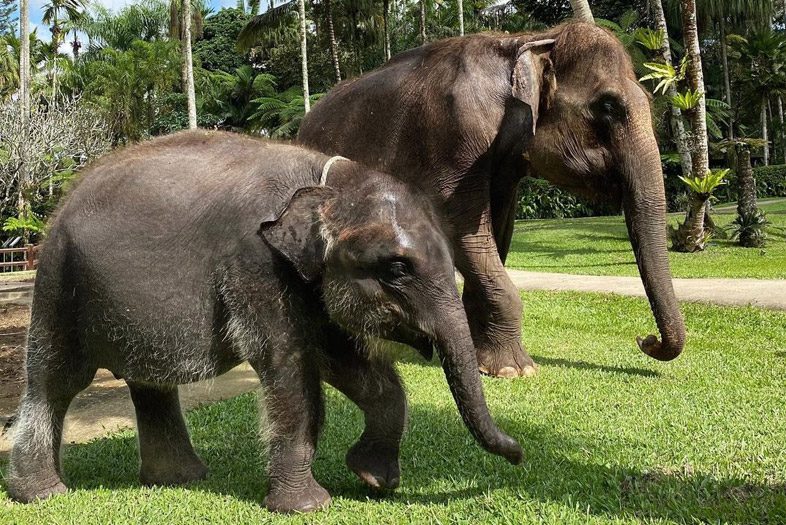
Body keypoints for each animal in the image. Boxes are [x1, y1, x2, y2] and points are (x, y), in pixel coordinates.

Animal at [9, 131, 520, 512]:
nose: (518, 454)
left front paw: (372, 479)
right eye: (397, 268)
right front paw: (307, 506)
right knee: (55, 382)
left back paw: (180, 479)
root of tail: (62, 202)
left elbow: (344, 360)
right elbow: (289, 368)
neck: (325, 181)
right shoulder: (254, 264)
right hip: (59, 282)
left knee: (150, 384)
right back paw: (41, 495)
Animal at [298, 21, 684, 376]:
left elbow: (497, 229)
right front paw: (517, 370)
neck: (533, 39)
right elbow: (460, 227)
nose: (645, 340)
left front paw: (485, 359)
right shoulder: (453, 136)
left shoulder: (505, 164)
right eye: (608, 106)